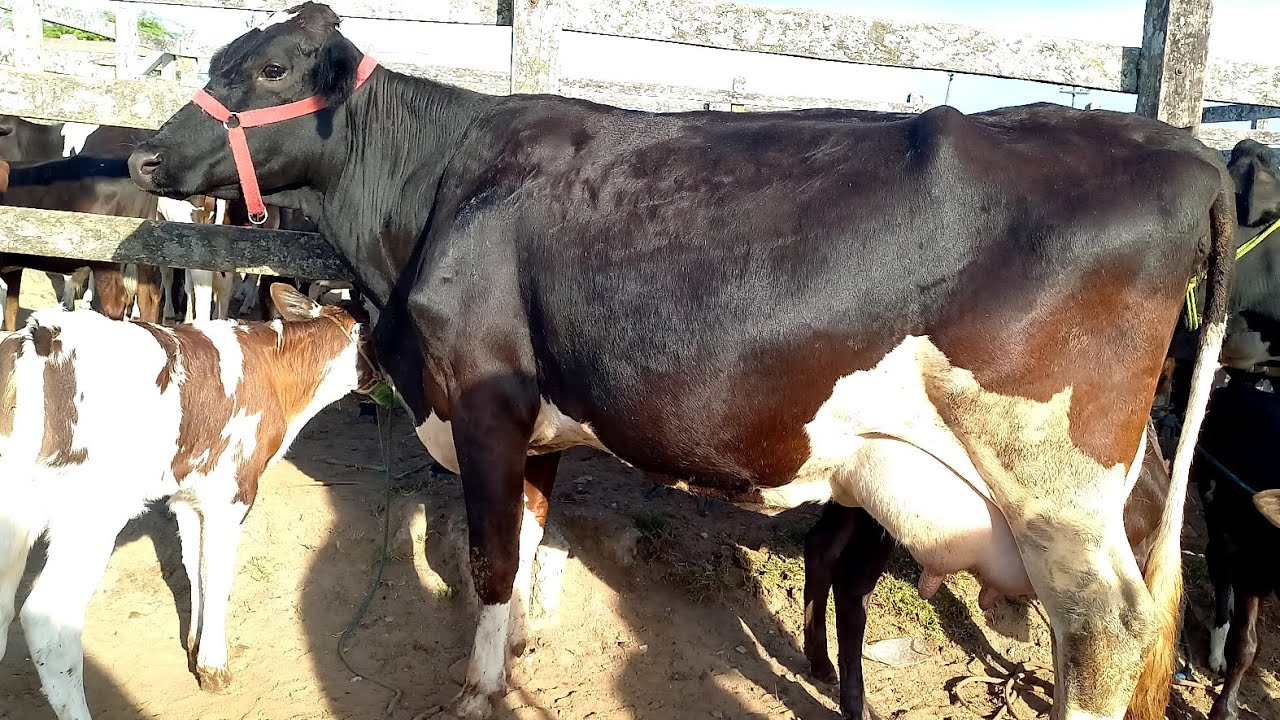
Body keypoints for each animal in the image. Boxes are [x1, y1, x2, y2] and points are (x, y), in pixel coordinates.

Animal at [0, 283, 380, 720]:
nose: (379, 379)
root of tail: (38, 337)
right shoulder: (233, 492)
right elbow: (217, 573)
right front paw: (214, 665)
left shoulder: (188, 494)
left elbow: (194, 566)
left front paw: (197, 650)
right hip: (90, 516)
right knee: (47, 619)